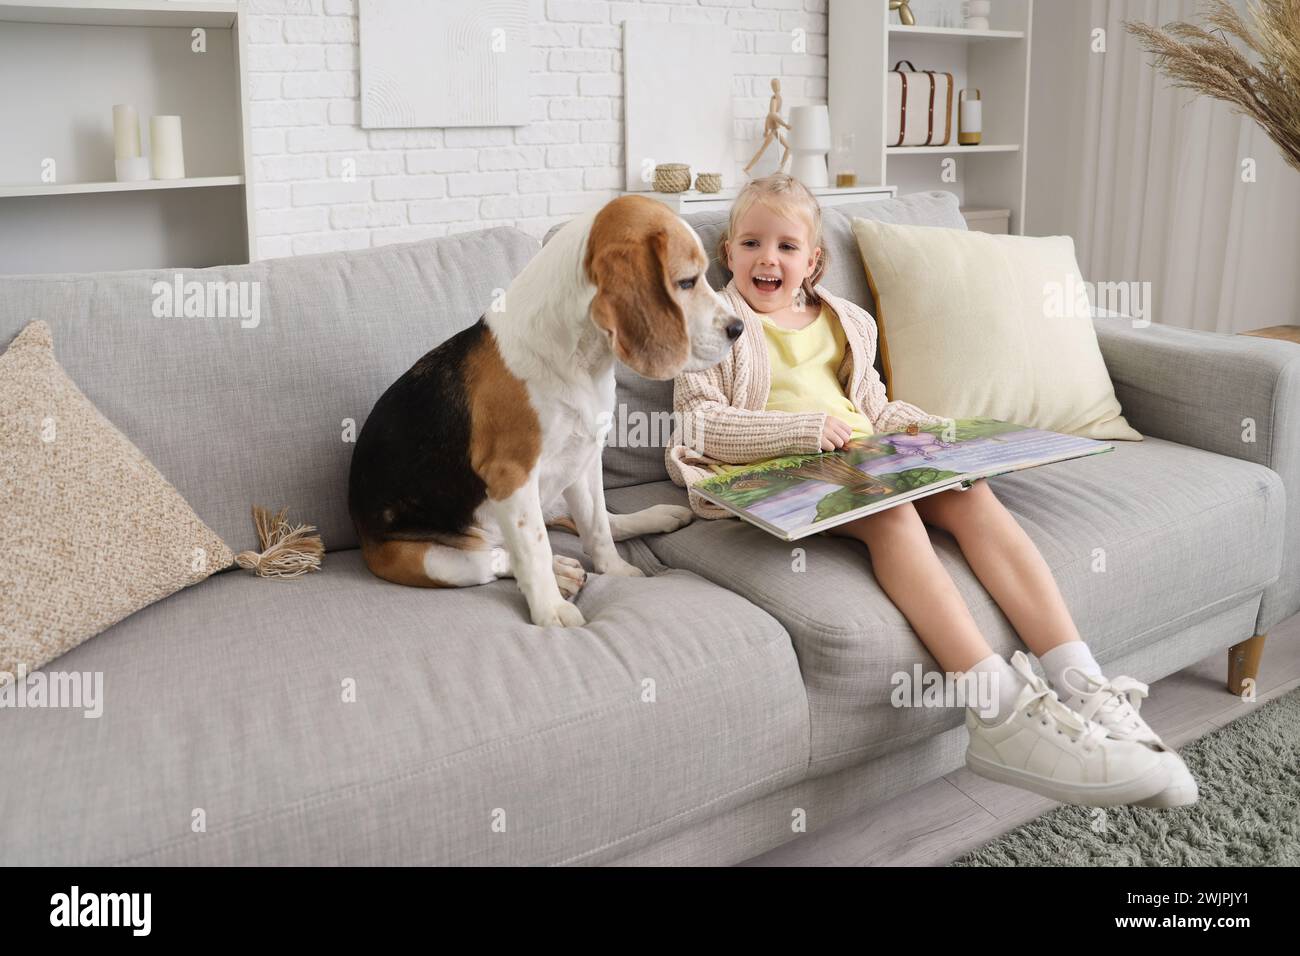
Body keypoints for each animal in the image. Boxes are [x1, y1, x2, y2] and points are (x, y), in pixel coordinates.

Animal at [348, 195, 743, 629]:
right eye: (686, 282)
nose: (738, 328)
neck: (580, 358)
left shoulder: (585, 458)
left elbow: (597, 527)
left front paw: (618, 572)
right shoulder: (512, 475)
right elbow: (534, 550)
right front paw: (551, 610)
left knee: (595, 522)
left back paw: (652, 518)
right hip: (430, 558)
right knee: (496, 557)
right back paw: (561, 574)